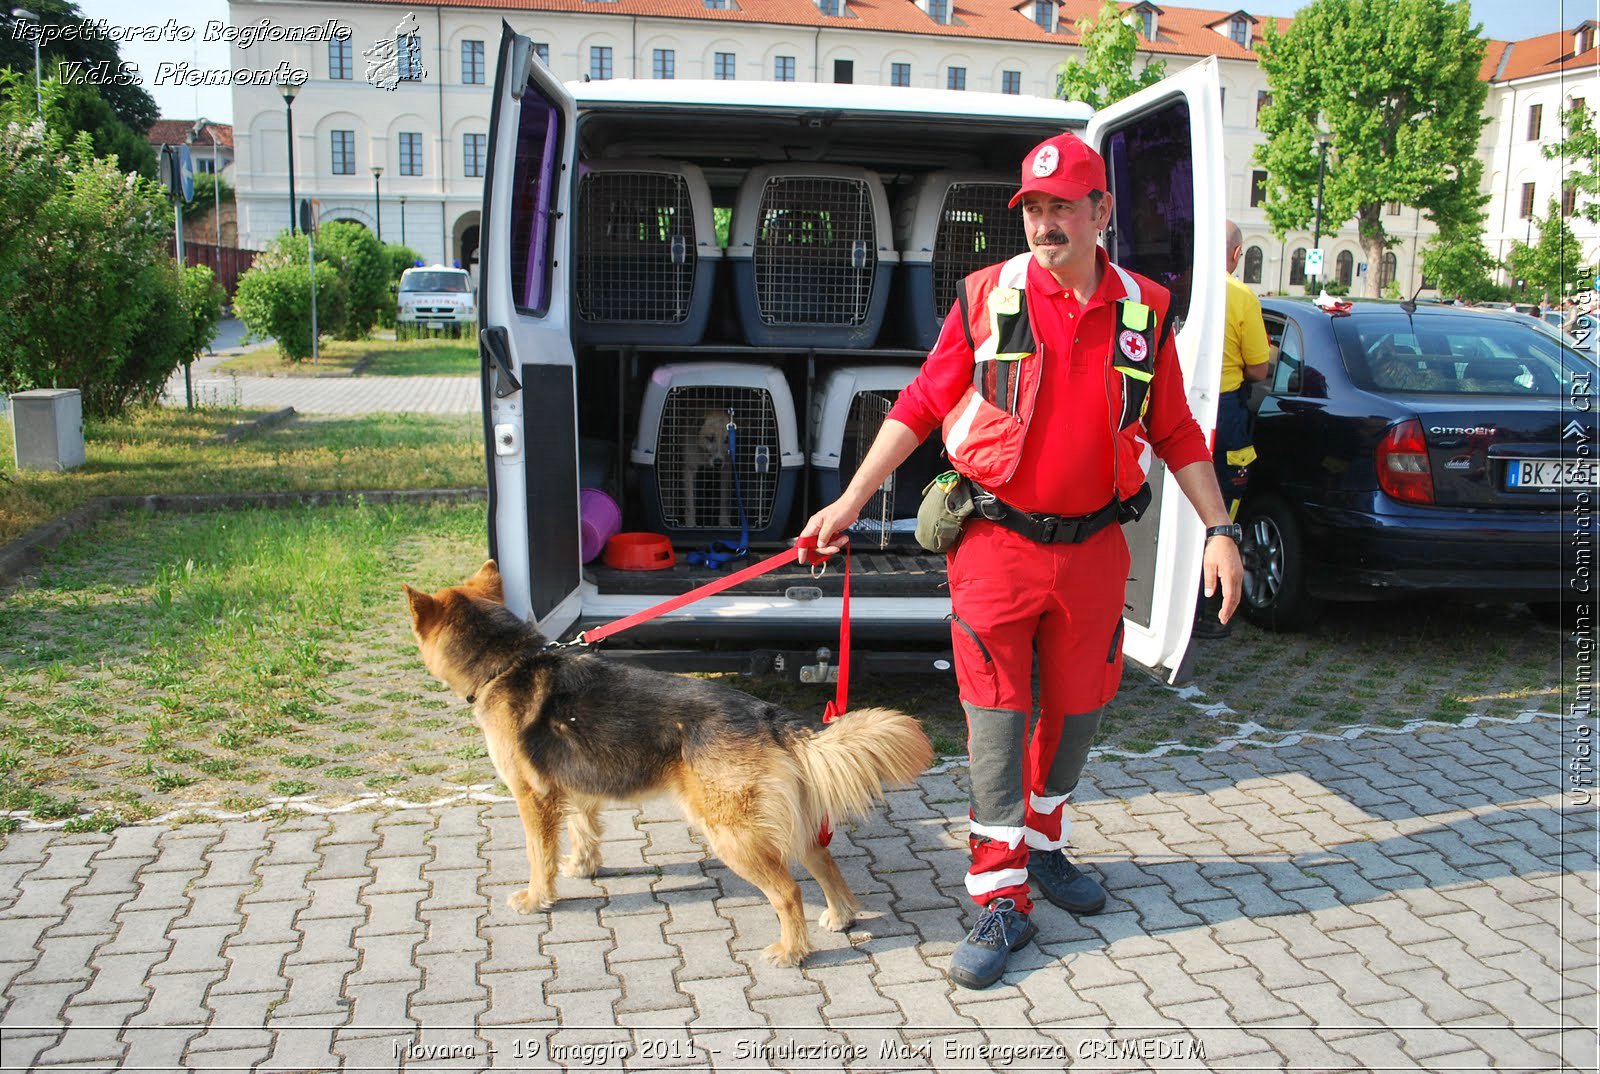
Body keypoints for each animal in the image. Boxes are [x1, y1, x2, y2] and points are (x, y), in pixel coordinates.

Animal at [403, 563, 934, 966]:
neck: (507, 663)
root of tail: (768, 715)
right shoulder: (578, 790)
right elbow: (583, 832)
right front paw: (582, 866)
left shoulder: (533, 798)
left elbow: (539, 856)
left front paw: (537, 898)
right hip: (779, 823)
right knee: (823, 861)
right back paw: (841, 916)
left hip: (730, 834)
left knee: (788, 893)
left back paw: (791, 950)